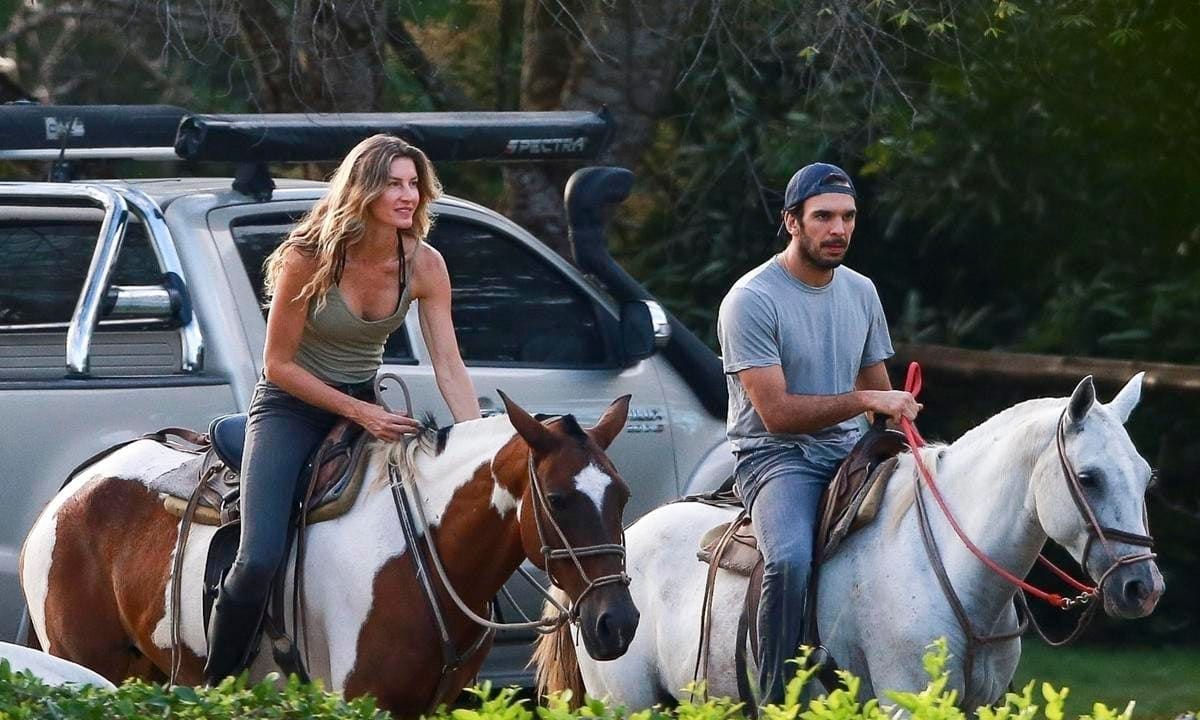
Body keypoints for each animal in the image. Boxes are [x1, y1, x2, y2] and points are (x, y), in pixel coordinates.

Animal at [18, 393, 638, 715]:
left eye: (623, 496)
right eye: (557, 499)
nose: (619, 623)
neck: (422, 553)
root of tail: (72, 491)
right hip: (86, 665)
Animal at [540, 376, 1166, 710]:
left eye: (1146, 475)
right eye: (1089, 477)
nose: (1143, 587)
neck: (947, 566)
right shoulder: (903, 700)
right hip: (625, 703)